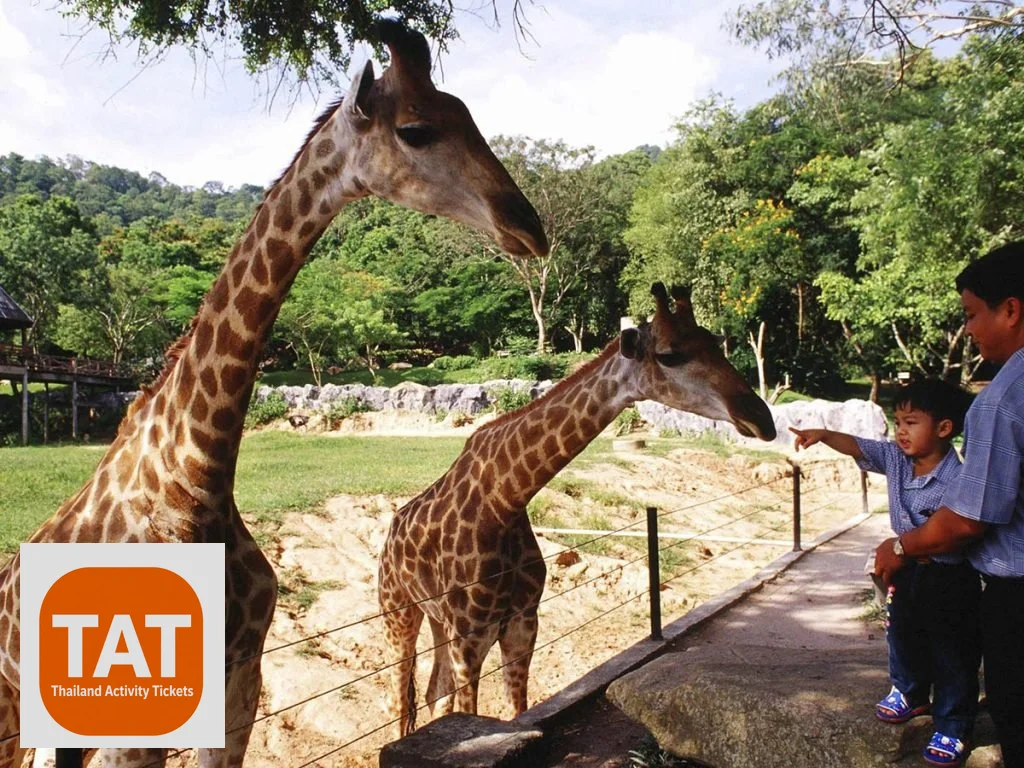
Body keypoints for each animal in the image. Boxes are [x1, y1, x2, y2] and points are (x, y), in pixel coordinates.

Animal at [378, 282, 778, 736]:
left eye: (714, 342)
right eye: (669, 354)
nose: (761, 418)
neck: (505, 499)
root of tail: (389, 536)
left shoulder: (523, 624)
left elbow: (516, 712)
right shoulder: (471, 635)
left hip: (437, 621)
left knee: (433, 694)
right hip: (398, 612)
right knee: (401, 700)